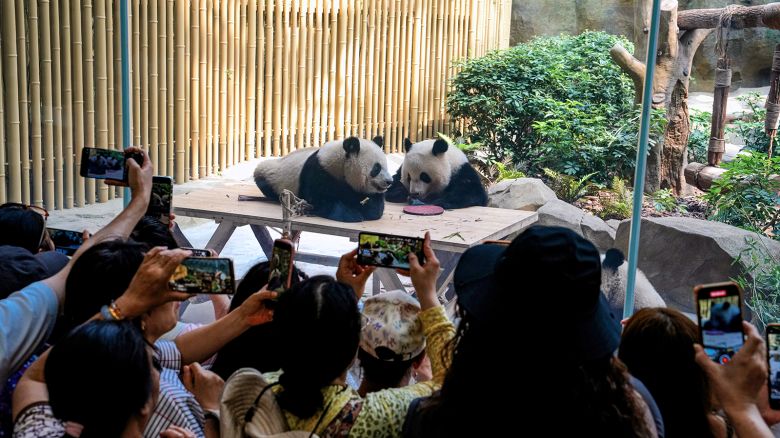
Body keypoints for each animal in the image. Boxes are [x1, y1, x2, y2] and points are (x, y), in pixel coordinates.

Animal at [253, 136, 394, 222]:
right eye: (376, 168)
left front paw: (367, 209)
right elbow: (321, 199)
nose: (389, 181)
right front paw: (352, 214)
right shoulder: (320, 172)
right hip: (274, 174)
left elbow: (375, 204)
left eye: (386, 166)